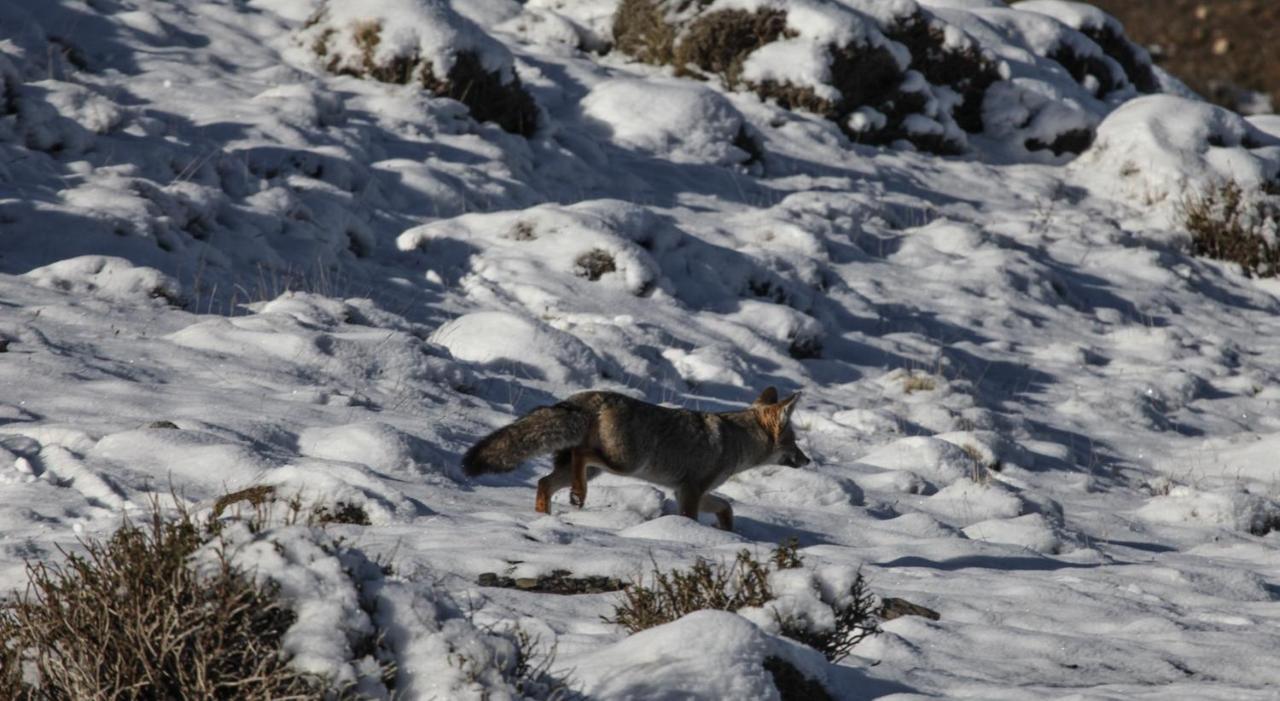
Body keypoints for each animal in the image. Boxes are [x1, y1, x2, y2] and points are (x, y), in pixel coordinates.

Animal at [460, 386, 803, 529]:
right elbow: (690, 519)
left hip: (594, 467)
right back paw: (577, 495)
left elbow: (726, 506)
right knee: (581, 457)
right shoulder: (690, 492)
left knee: (545, 481)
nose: (808, 461)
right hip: (624, 463)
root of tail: (589, 397)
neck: (736, 440)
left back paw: (545, 517)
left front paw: (728, 529)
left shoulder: (686, 490)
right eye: (795, 442)